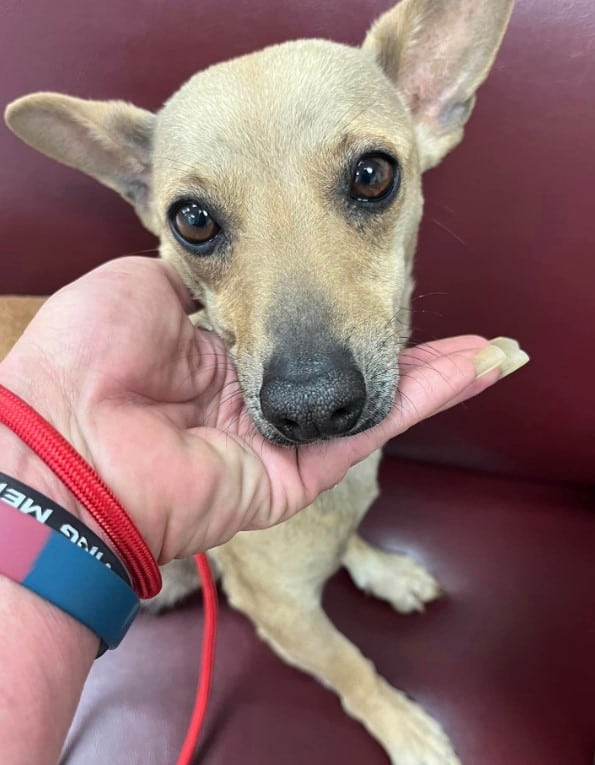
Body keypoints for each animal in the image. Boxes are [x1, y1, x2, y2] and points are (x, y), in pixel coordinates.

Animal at [2, 2, 516, 760]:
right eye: (191, 221)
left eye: (373, 175)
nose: (313, 407)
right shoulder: (284, 610)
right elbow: (352, 667)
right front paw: (404, 727)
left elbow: (353, 543)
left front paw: (381, 566)